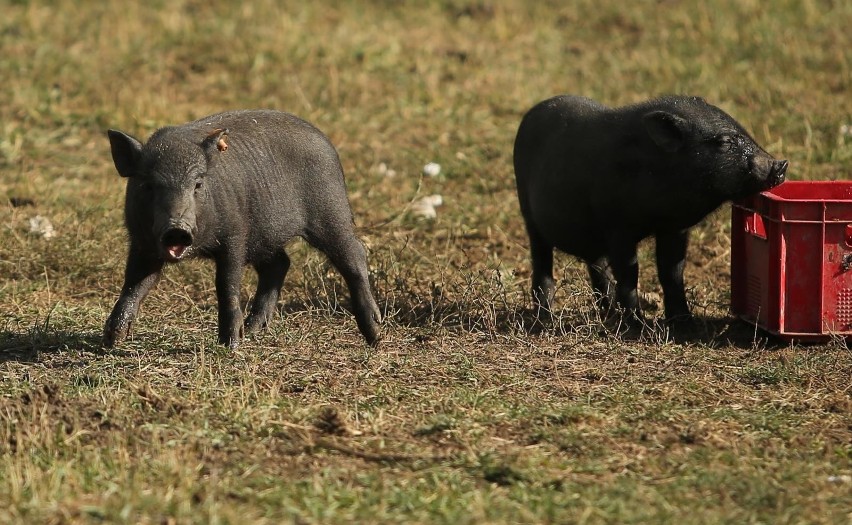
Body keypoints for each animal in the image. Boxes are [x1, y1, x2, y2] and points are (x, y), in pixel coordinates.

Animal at [103, 109, 380, 348]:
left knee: (354, 255)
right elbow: (135, 284)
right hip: (264, 237)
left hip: (332, 212)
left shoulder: (235, 235)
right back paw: (253, 330)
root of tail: (325, 141)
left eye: (198, 184)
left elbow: (227, 284)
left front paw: (230, 345)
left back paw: (375, 336)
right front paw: (110, 341)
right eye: (148, 185)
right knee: (279, 264)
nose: (177, 228)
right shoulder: (141, 242)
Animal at [512, 94, 784, 324]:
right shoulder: (617, 227)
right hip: (529, 215)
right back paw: (545, 319)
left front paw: (685, 322)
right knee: (543, 265)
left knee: (598, 268)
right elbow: (629, 272)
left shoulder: (674, 229)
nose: (780, 165)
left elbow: (672, 271)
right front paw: (637, 324)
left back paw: (608, 312)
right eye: (724, 142)